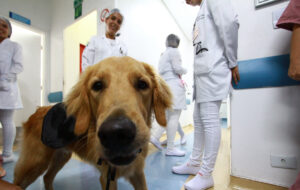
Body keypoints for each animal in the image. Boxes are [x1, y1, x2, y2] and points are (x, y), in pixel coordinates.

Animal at [14, 56, 172, 190]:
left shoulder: (137, 173)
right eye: (97, 85)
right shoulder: (107, 177)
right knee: (17, 183)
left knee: (47, 177)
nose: (117, 132)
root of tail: (37, 111)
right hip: (35, 163)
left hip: (61, 156)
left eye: (142, 84)